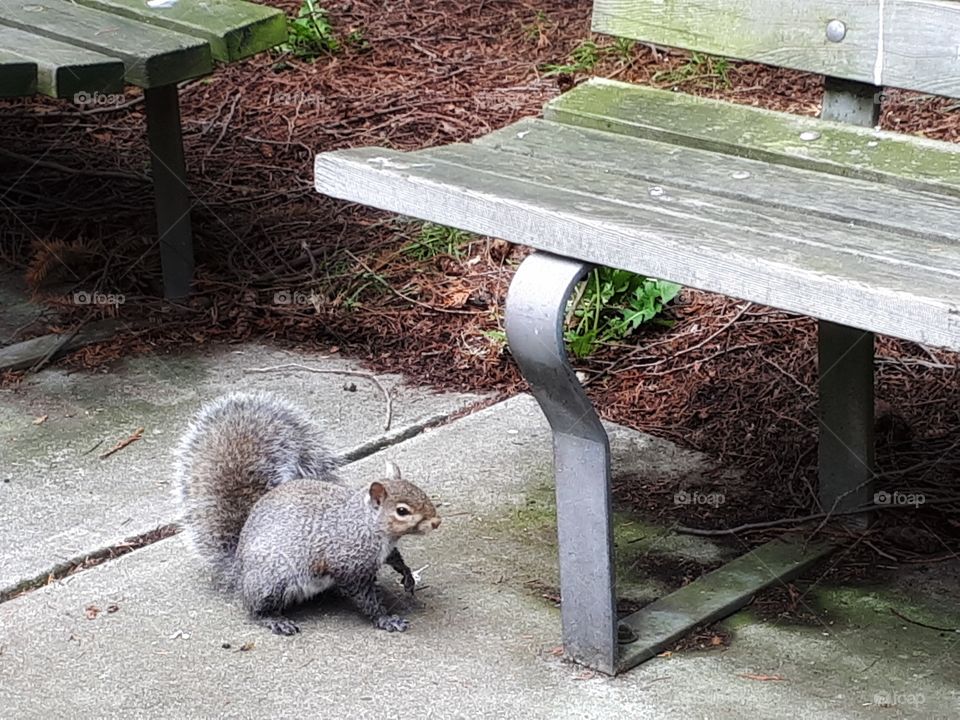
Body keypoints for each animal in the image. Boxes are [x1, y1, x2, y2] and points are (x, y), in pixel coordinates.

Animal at [174, 391, 441, 635]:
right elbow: (362, 596)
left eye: (420, 490)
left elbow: (395, 558)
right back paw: (275, 619)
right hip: (273, 579)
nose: (436, 522)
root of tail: (239, 572)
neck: (366, 525)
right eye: (402, 511)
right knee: (256, 608)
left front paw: (406, 574)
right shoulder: (346, 564)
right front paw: (385, 618)